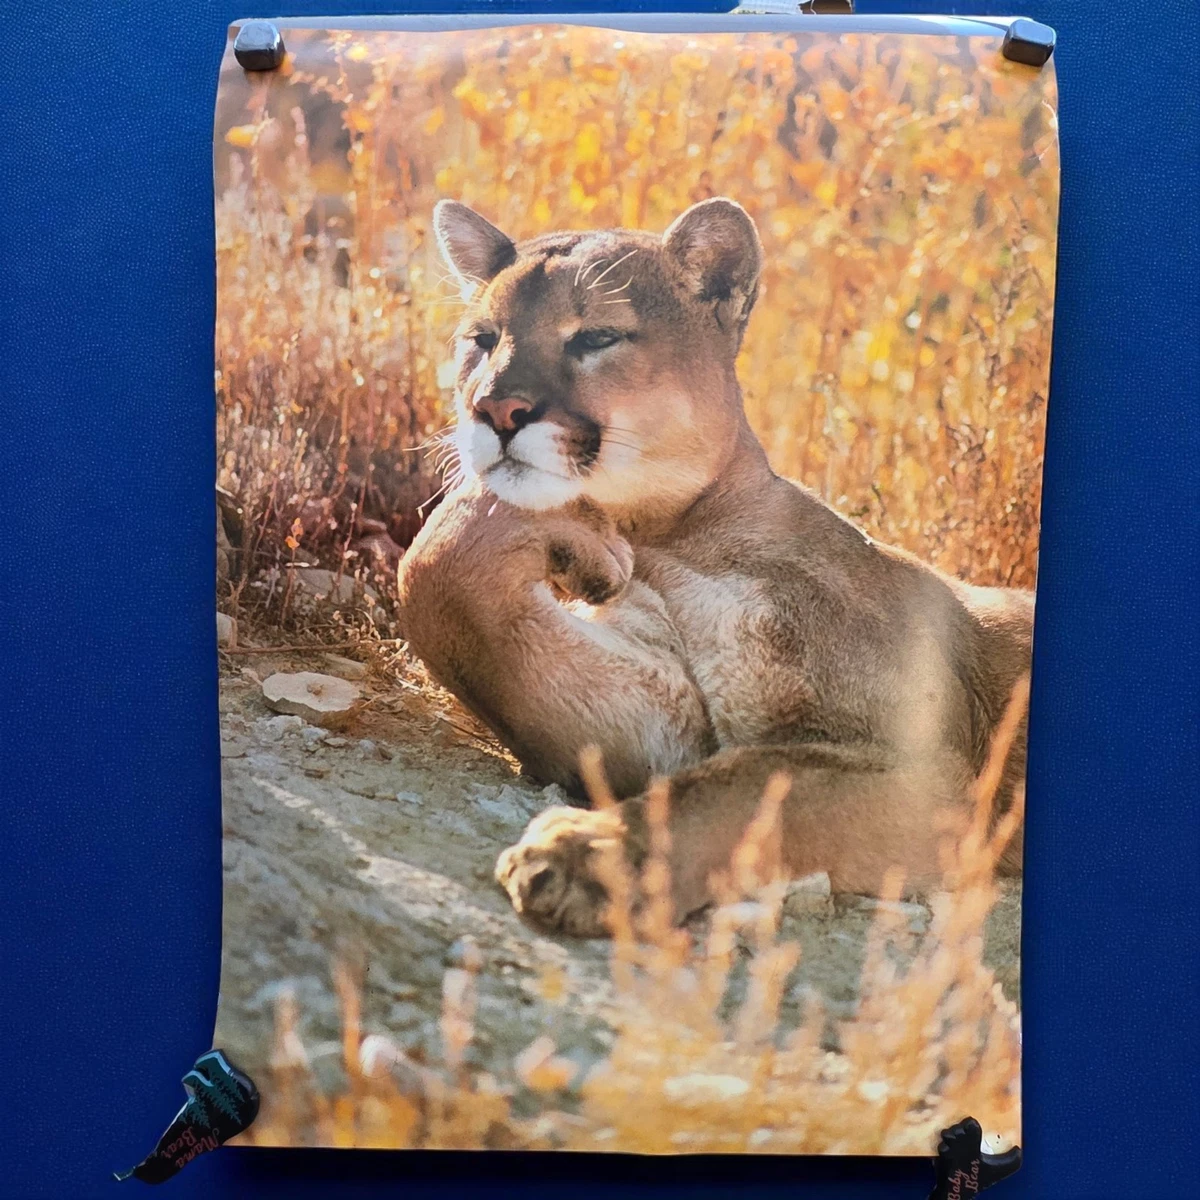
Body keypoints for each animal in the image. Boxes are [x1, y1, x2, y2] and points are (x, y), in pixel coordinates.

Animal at [397, 197, 1032, 937]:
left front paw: (594, 853)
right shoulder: (663, 720)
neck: (671, 533)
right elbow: (432, 570)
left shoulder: (933, 776)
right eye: (483, 338)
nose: (495, 408)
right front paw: (577, 541)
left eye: (597, 337)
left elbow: (748, 785)